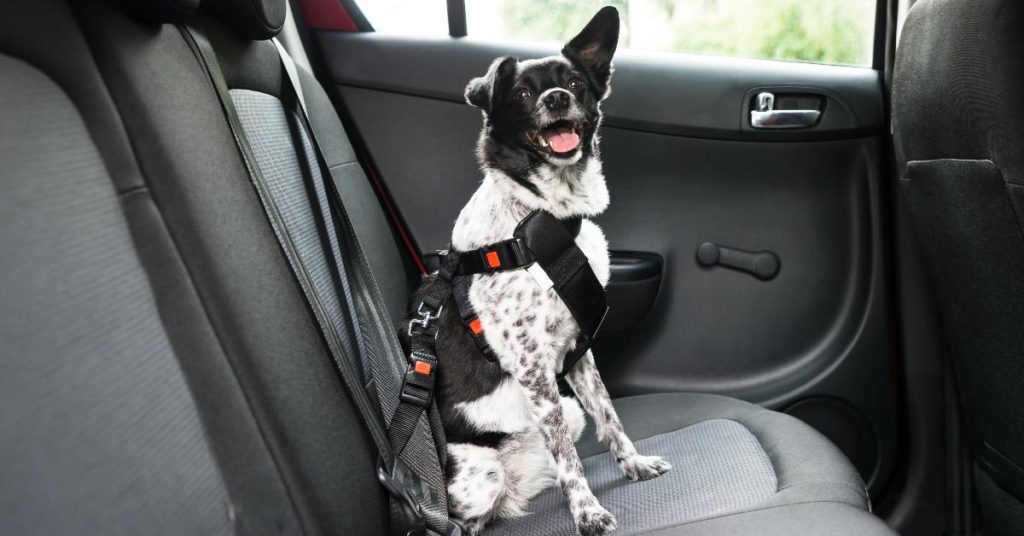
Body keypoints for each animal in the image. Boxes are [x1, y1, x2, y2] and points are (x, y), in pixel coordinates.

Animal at [415, 8, 671, 536]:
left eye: (573, 82)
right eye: (521, 94)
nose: (556, 98)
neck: (543, 215)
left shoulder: (579, 352)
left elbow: (610, 418)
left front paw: (634, 466)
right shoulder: (533, 368)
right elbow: (570, 459)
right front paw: (588, 513)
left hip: (565, 412)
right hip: (481, 474)